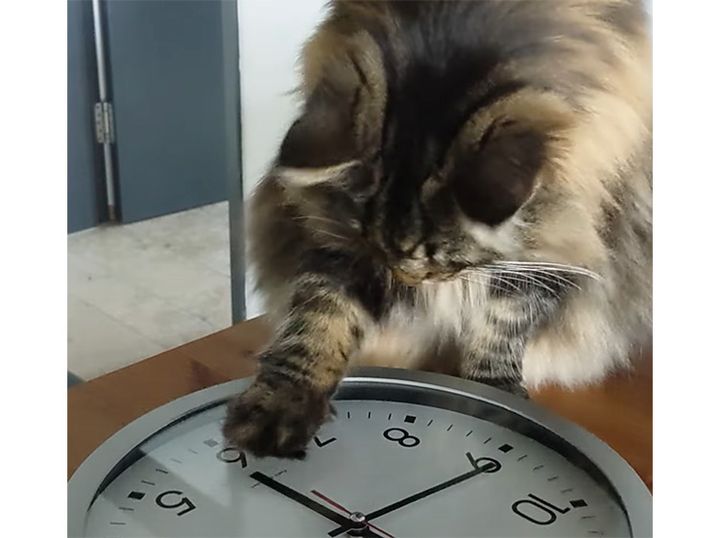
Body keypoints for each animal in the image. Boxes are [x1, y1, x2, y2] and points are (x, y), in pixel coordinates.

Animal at [223, 0, 651, 458]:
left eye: (444, 258)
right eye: (380, 251)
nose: (406, 281)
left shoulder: (553, 239)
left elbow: (505, 324)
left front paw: (494, 393)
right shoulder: (338, 237)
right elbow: (320, 319)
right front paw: (279, 406)